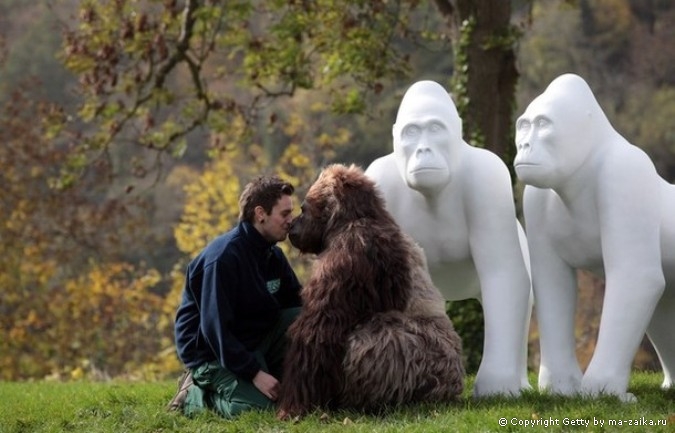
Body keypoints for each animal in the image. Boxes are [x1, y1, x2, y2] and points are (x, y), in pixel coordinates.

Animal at [276, 163, 464, 418]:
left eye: (304, 209)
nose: (293, 227)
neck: (351, 218)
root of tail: (453, 387)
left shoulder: (353, 250)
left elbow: (317, 328)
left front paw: (294, 404)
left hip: (429, 366)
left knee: (380, 338)